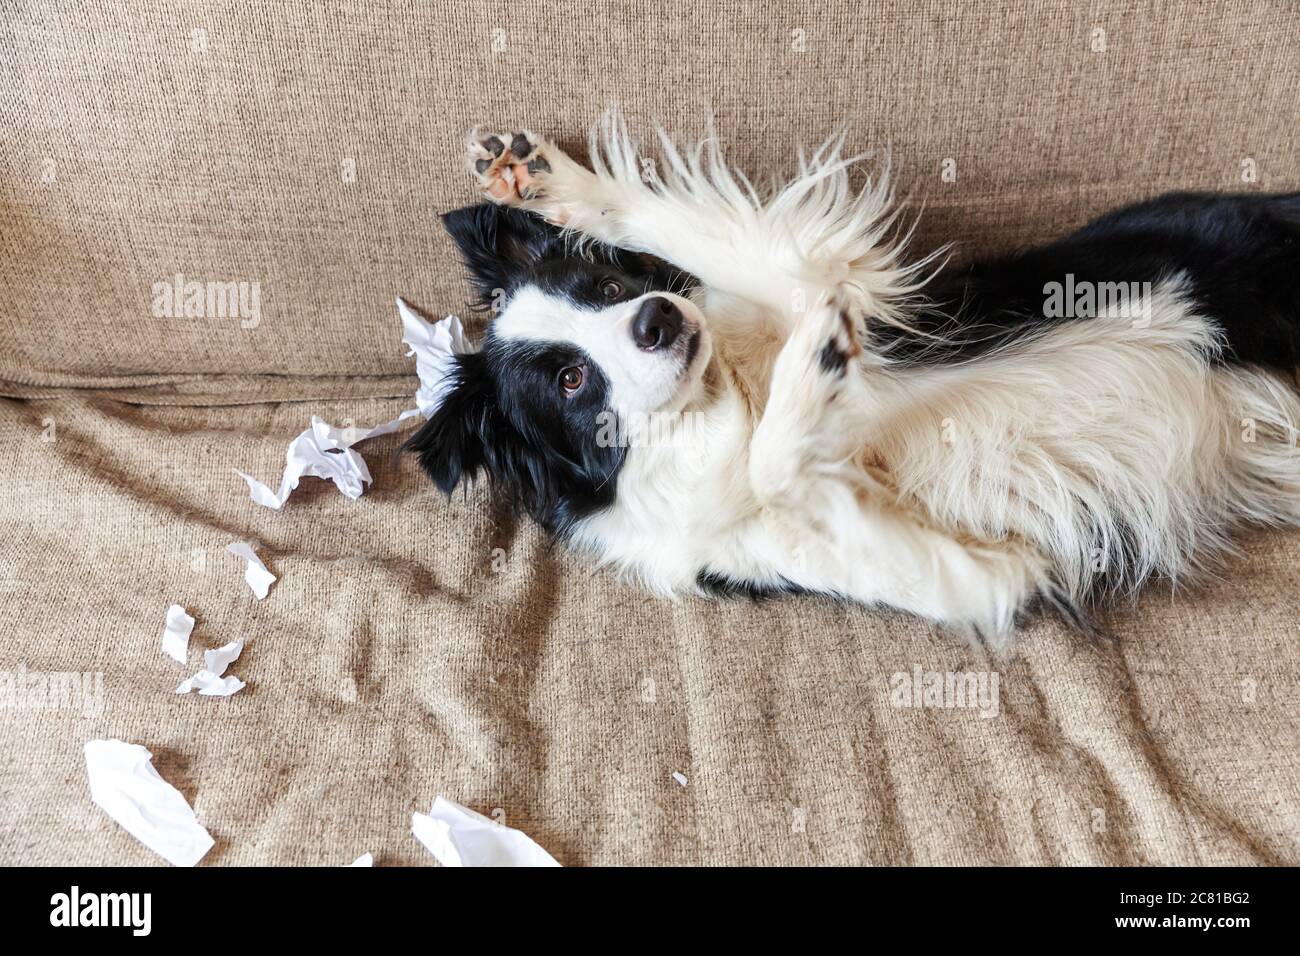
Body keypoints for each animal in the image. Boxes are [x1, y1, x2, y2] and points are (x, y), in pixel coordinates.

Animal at [405, 117, 1300, 642]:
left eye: (604, 286)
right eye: (568, 382)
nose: (658, 318)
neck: (722, 403)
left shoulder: (832, 282)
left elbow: (697, 233)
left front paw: (555, 181)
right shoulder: (981, 572)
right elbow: (787, 475)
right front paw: (813, 382)